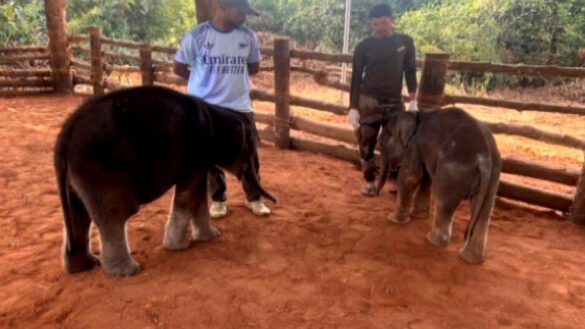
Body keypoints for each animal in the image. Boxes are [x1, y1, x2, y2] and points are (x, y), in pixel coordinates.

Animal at [53, 84, 276, 274]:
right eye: (250, 149)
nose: (275, 203)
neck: (215, 111)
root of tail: (64, 138)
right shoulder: (196, 148)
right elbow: (189, 191)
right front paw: (179, 247)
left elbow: (198, 191)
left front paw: (211, 237)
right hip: (101, 169)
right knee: (116, 213)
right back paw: (128, 271)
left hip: (79, 174)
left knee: (79, 214)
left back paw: (85, 266)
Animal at [376, 106, 500, 262]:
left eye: (381, 144)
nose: (374, 193)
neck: (415, 114)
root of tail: (485, 159)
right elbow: (426, 178)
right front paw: (418, 216)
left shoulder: (414, 145)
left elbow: (411, 176)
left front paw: (393, 219)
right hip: (494, 176)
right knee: (485, 211)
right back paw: (470, 258)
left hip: (452, 172)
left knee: (443, 201)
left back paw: (432, 240)